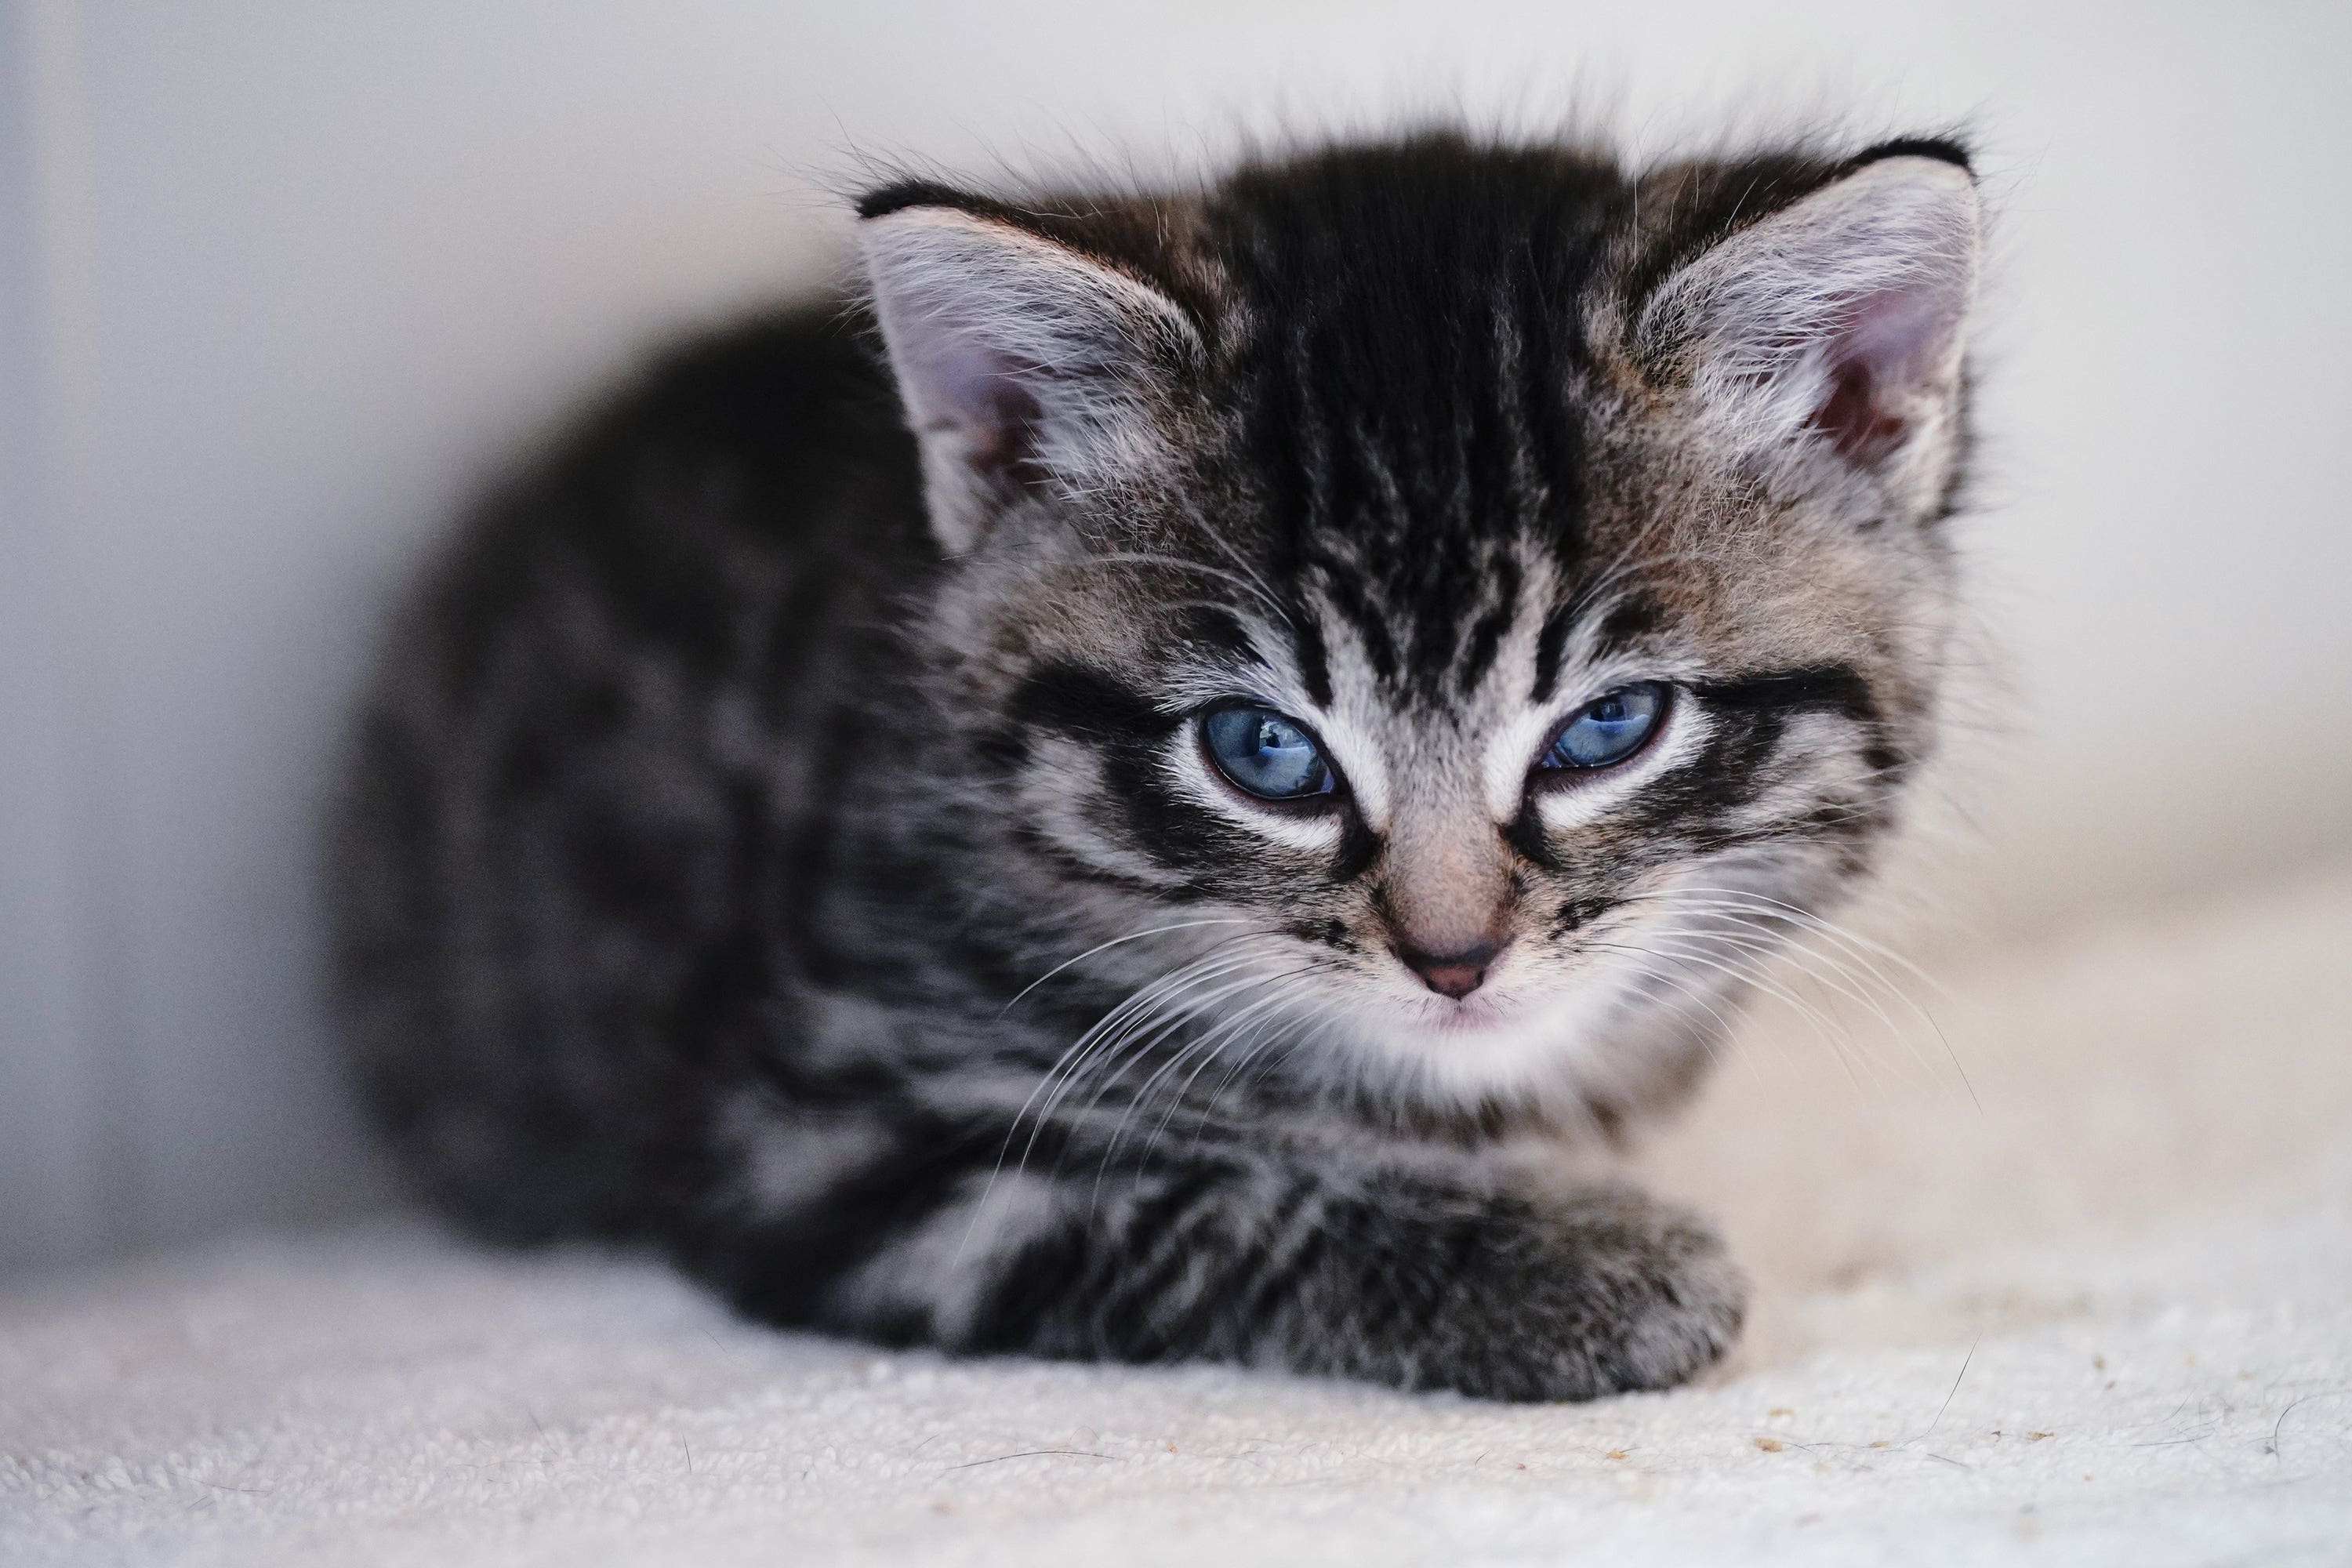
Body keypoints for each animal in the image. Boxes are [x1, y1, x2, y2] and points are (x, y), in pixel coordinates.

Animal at [327, 135, 1985, 1401]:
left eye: (1605, 729)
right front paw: (1578, 1273)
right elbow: (1206, 1211)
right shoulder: (824, 1135)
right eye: (1266, 753)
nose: (1454, 958)